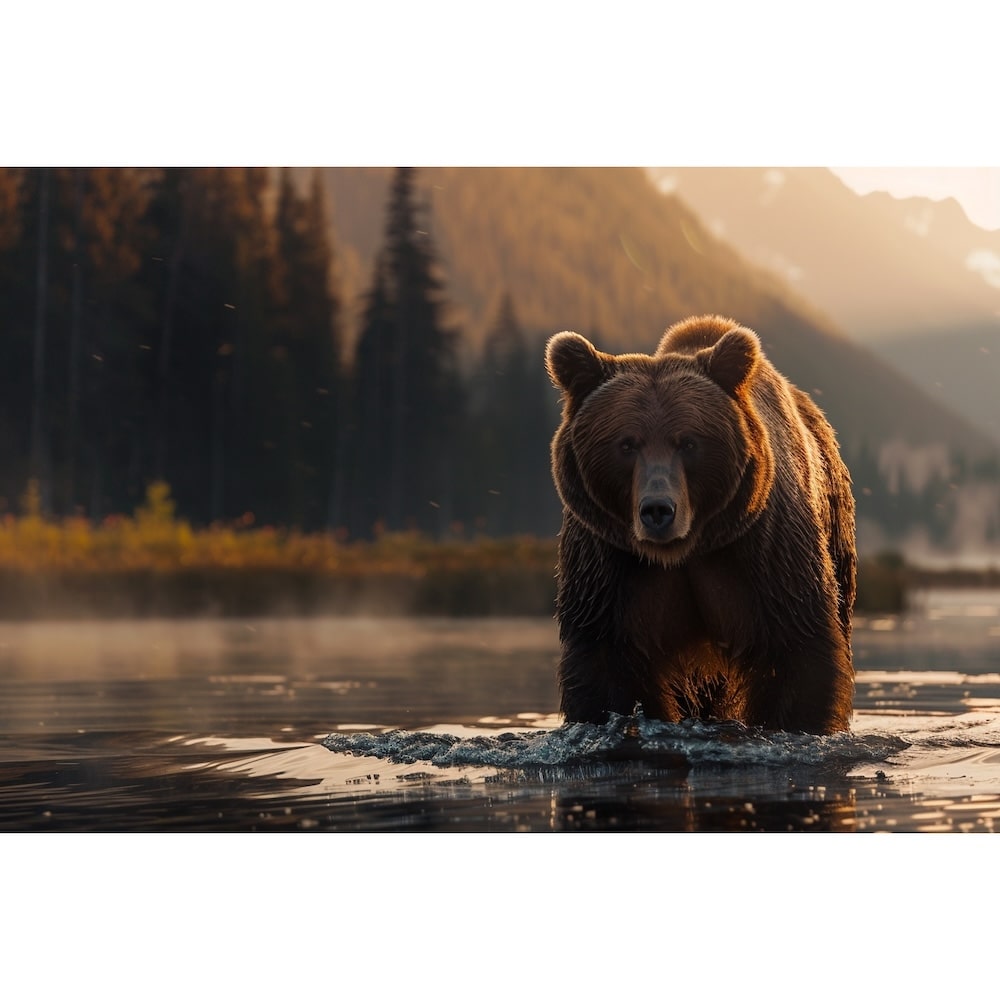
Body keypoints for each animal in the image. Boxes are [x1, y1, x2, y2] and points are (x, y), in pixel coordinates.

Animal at [545, 314, 856, 735]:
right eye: (626, 444)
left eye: (689, 442)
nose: (658, 510)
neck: (686, 551)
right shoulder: (608, 567)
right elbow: (604, 664)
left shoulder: (766, 552)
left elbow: (797, 649)